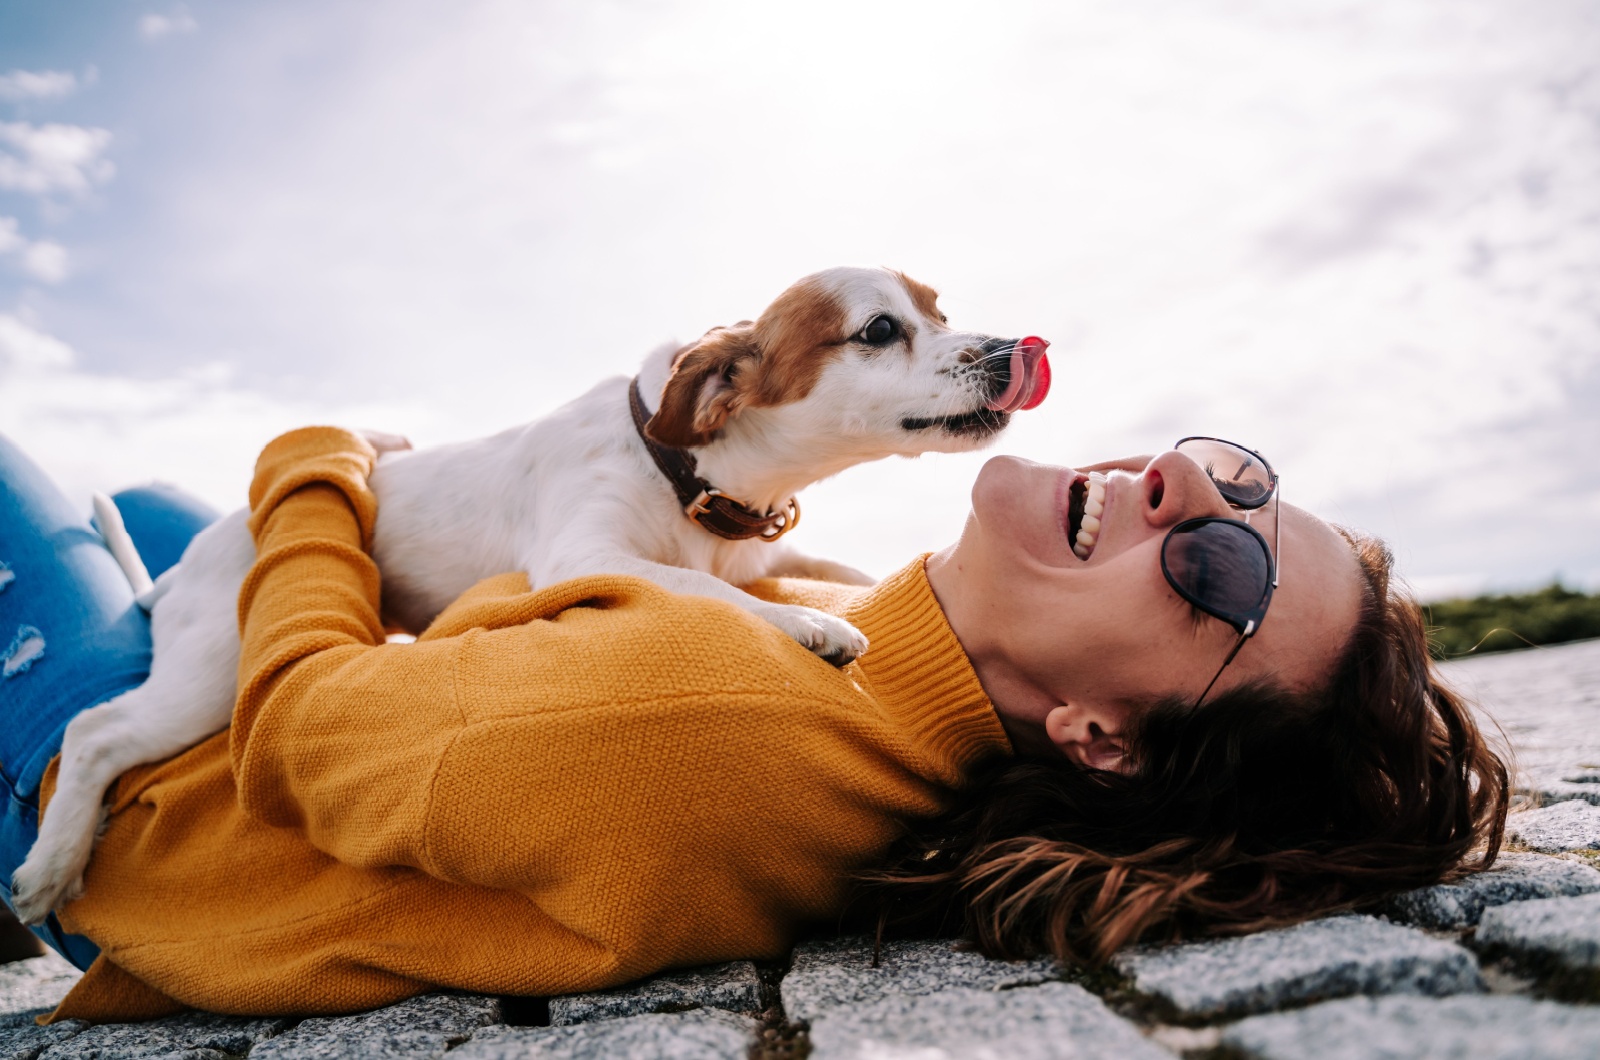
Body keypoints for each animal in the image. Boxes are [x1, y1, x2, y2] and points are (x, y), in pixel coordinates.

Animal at [12, 265, 1056, 922]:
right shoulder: (583, 553)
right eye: (880, 330)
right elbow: (698, 587)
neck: (689, 473)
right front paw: (805, 624)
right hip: (210, 672)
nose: (1014, 347)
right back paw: (49, 868)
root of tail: (186, 565)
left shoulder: (757, 548)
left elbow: (831, 573)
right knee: (91, 732)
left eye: (940, 308)